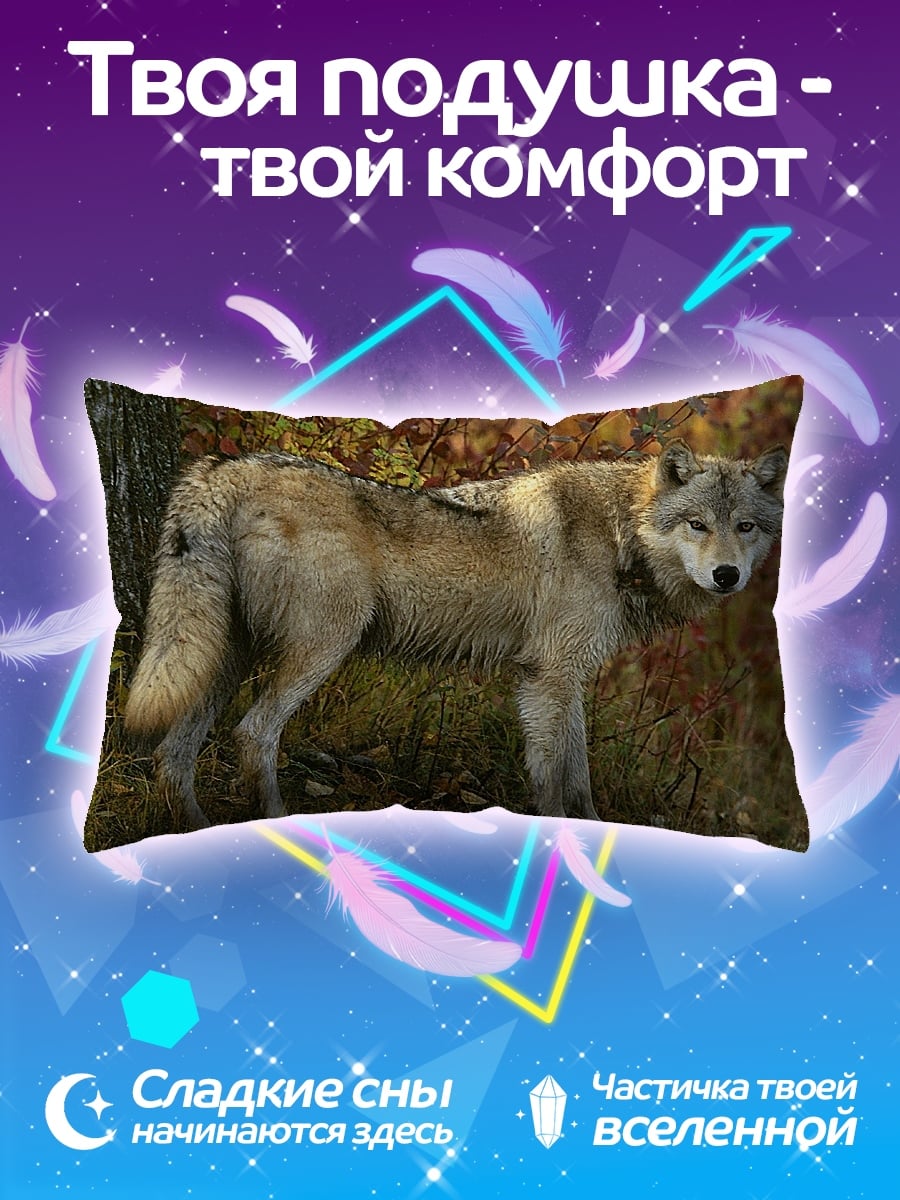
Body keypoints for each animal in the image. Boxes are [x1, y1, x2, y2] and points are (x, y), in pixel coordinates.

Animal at [122, 438, 787, 828]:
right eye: (697, 524)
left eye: (746, 526)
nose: (727, 576)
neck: (621, 533)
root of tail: (225, 467)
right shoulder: (549, 677)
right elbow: (553, 777)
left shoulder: (561, 678)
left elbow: (578, 777)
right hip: (320, 649)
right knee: (253, 733)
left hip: (220, 659)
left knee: (172, 754)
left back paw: (195, 829)